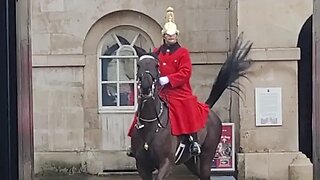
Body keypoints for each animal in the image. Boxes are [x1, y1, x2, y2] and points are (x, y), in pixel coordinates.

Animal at [131, 35, 252, 180]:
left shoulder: (166, 164)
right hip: (191, 162)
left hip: (206, 157)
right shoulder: (142, 166)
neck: (151, 124)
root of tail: (206, 108)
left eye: (156, 65)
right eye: (138, 65)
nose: (146, 87)